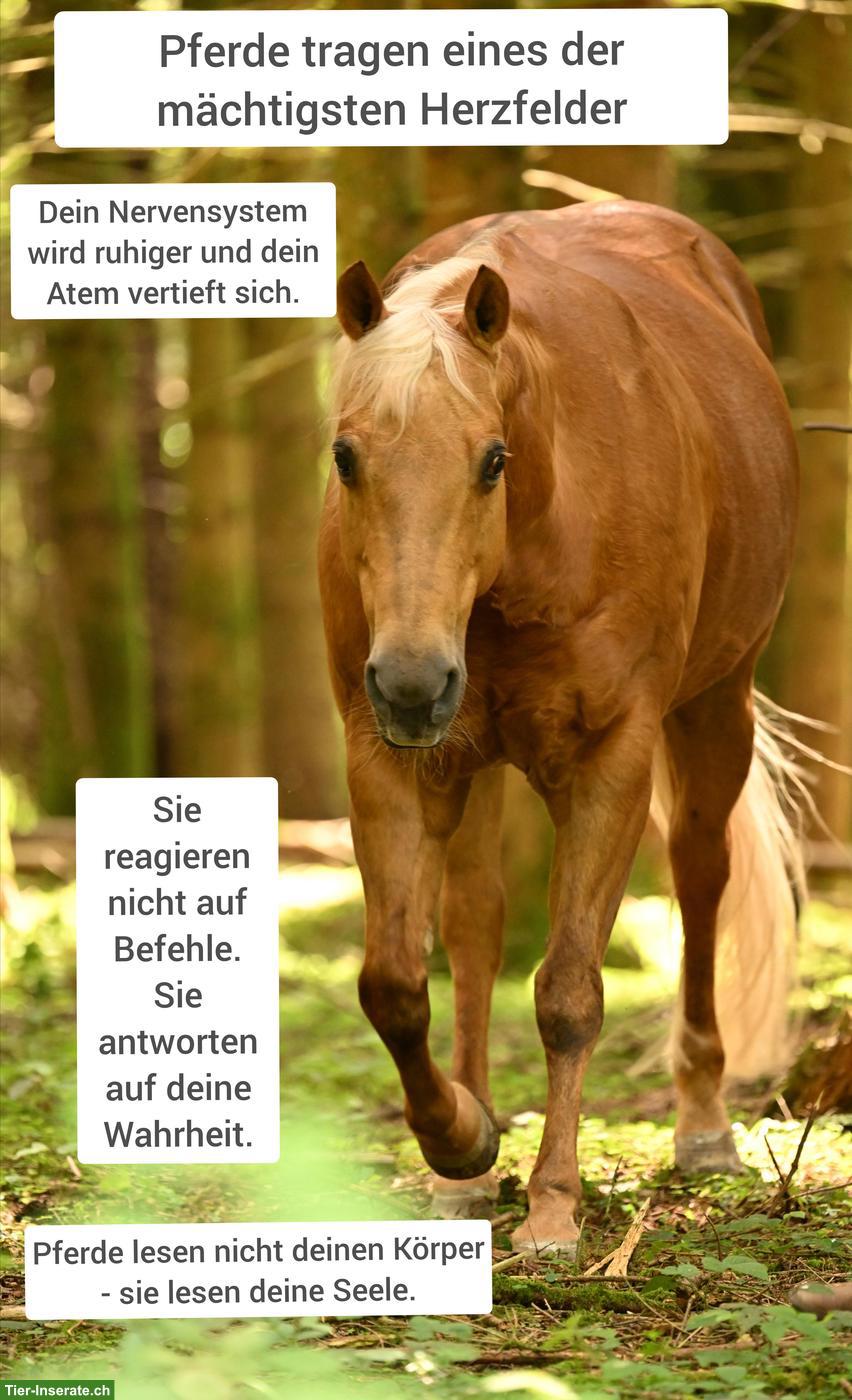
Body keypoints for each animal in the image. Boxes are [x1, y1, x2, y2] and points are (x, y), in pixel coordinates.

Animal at [318, 200, 802, 1256]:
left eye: (491, 458)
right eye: (345, 456)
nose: (412, 681)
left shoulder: (609, 759)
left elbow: (570, 992)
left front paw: (553, 1206)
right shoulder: (389, 759)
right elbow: (394, 985)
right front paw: (461, 1140)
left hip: (716, 709)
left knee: (700, 880)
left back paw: (703, 1127)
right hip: (466, 758)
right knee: (476, 925)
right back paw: (460, 1170)